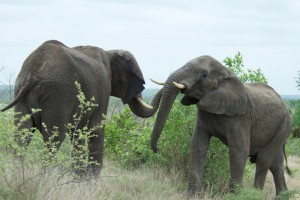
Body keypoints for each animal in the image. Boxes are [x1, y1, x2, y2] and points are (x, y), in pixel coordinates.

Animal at [0, 40, 162, 175]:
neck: (110, 52)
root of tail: (33, 72)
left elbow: (77, 132)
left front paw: (79, 176)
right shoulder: (103, 86)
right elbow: (96, 127)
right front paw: (92, 178)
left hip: (21, 89)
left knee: (22, 135)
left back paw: (18, 177)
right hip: (58, 92)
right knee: (54, 137)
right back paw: (44, 179)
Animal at [151, 54, 292, 197]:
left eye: (204, 75)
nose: (158, 149)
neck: (225, 73)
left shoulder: (241, 117)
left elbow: (239, 150)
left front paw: (234, 197)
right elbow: (197, 144)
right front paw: (189, 195)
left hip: (285, 125)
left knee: (263, 159)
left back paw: (256, 194)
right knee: (276, 165)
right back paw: (283, 195)